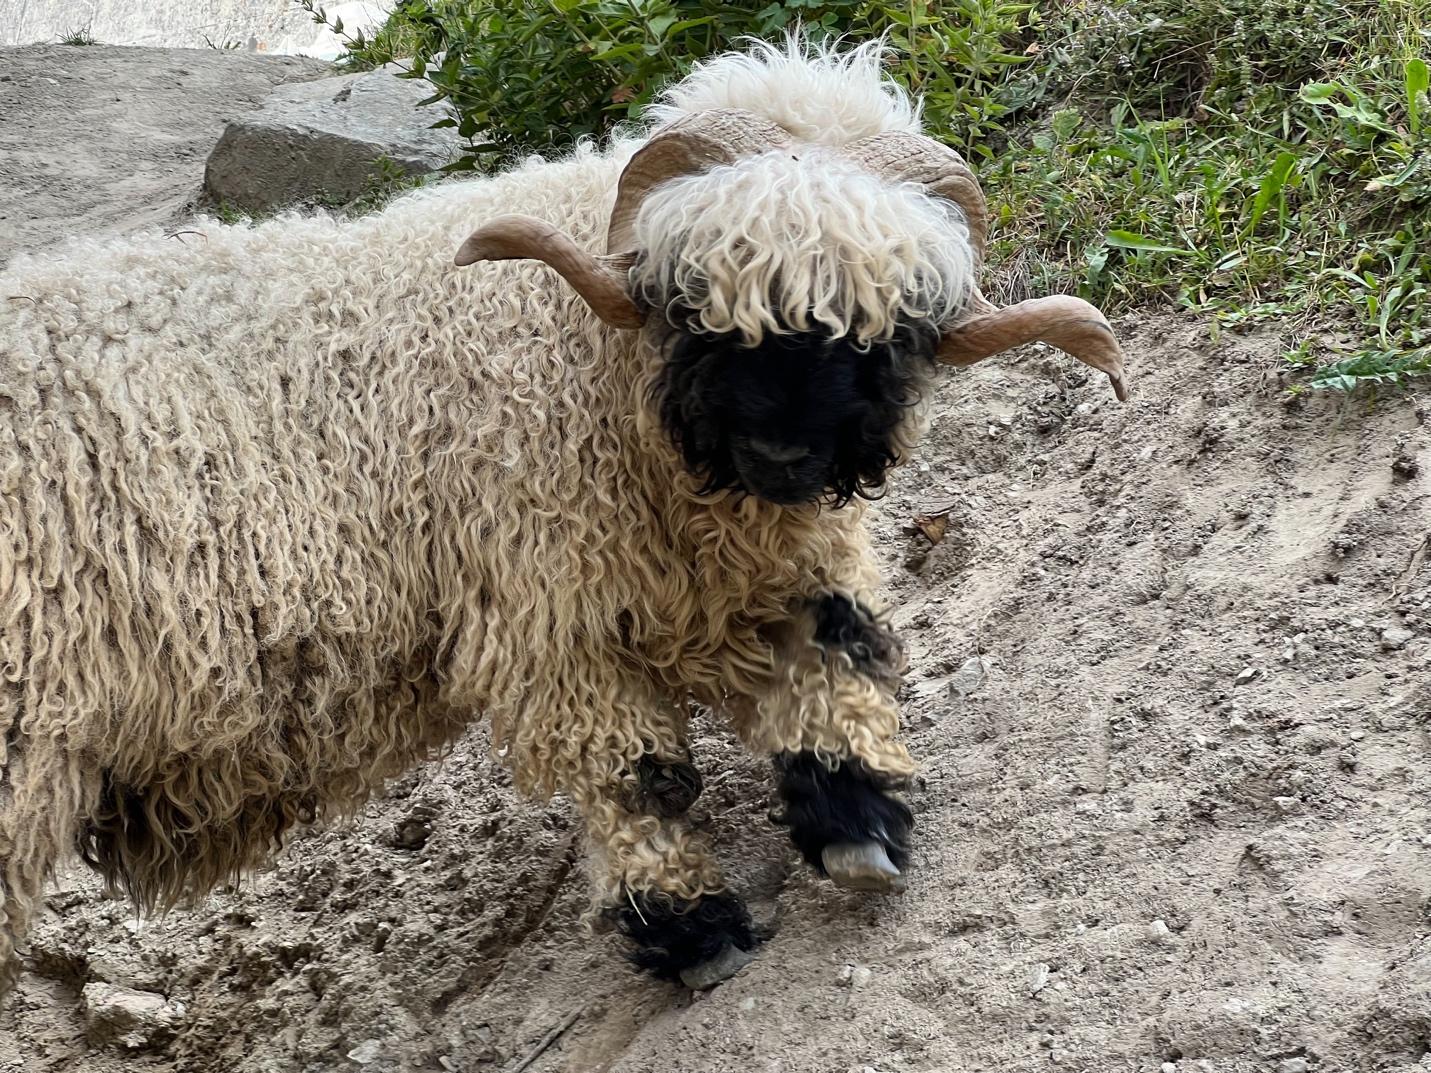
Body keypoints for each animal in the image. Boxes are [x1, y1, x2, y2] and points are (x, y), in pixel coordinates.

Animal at [0, 35, 1127, 1001]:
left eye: (882, 333)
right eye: (693, 305)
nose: (781, 454)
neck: (595, 368)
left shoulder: (774, 568)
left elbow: (837, 663)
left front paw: (858, 824)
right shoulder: (551, 606)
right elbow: (637, 779)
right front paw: (693, 932)